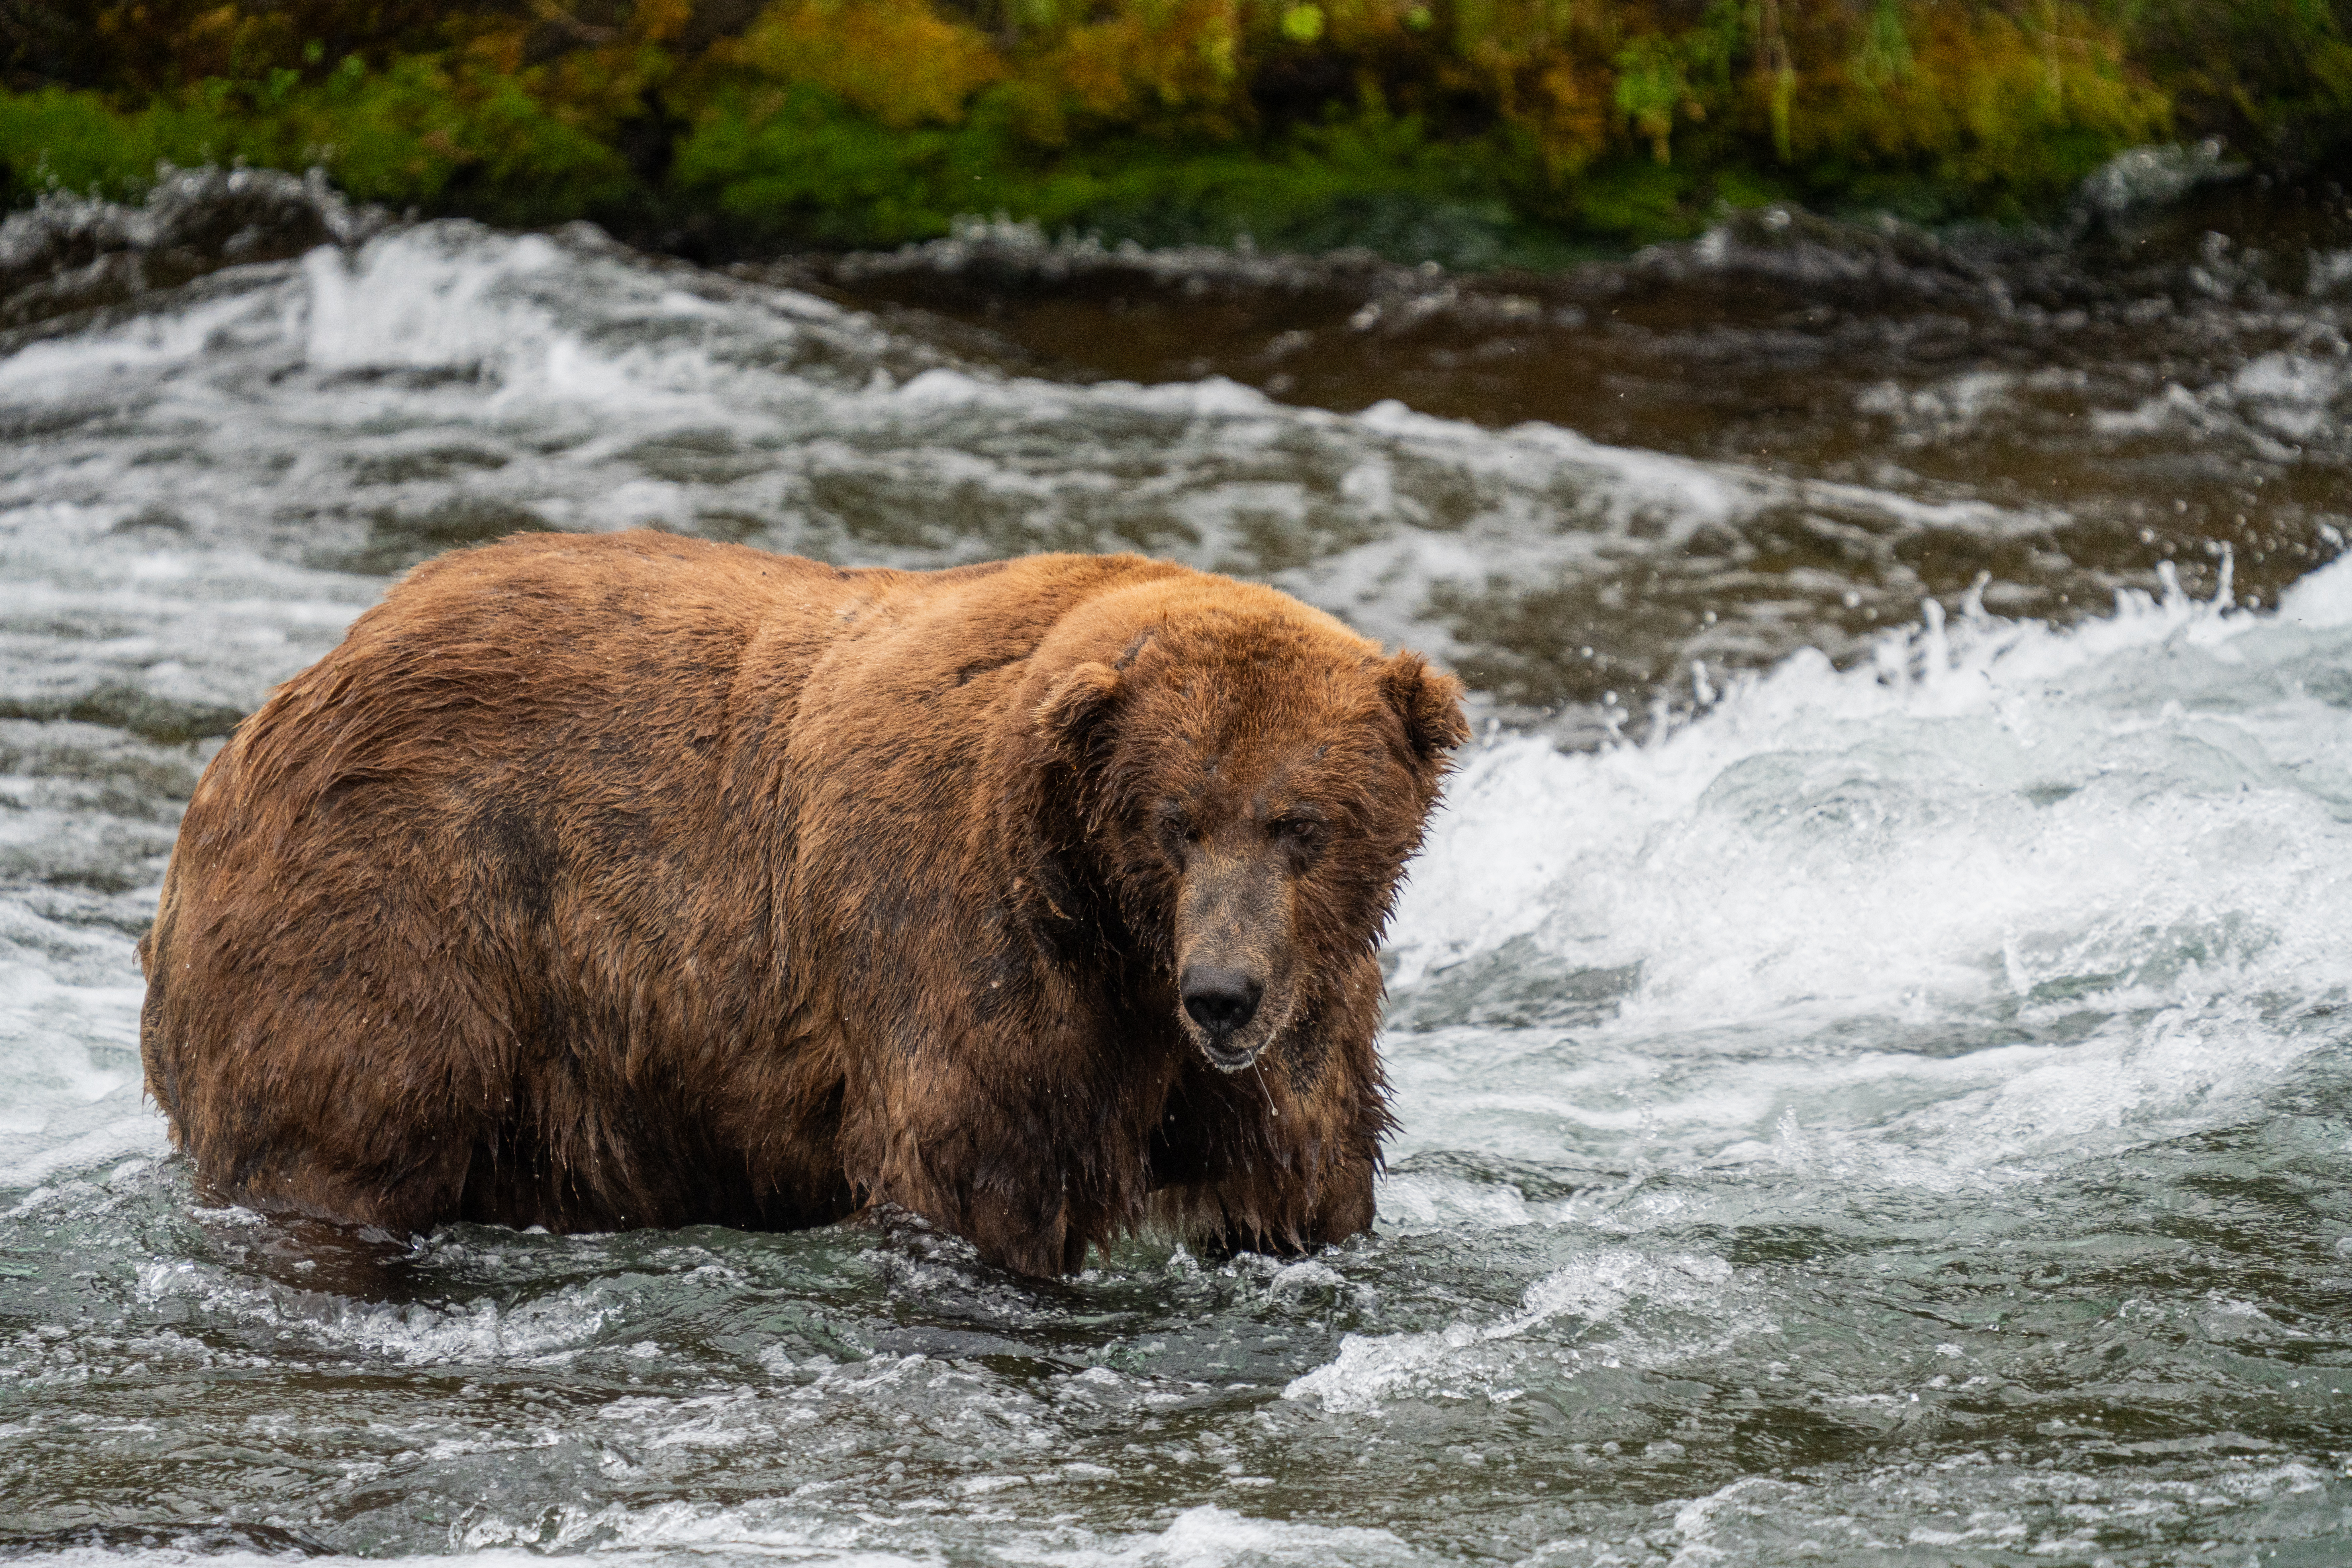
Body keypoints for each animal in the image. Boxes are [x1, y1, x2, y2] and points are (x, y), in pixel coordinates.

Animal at [137, 527, 1458, 1279]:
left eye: (1302, 822)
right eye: (1172, 819)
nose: (1222, 994)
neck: (1113, 939)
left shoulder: (1297, 1020)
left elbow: (1299, 1180)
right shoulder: (970, 947)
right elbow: (974, 1175)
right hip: (405, 907)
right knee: (339, 1129)